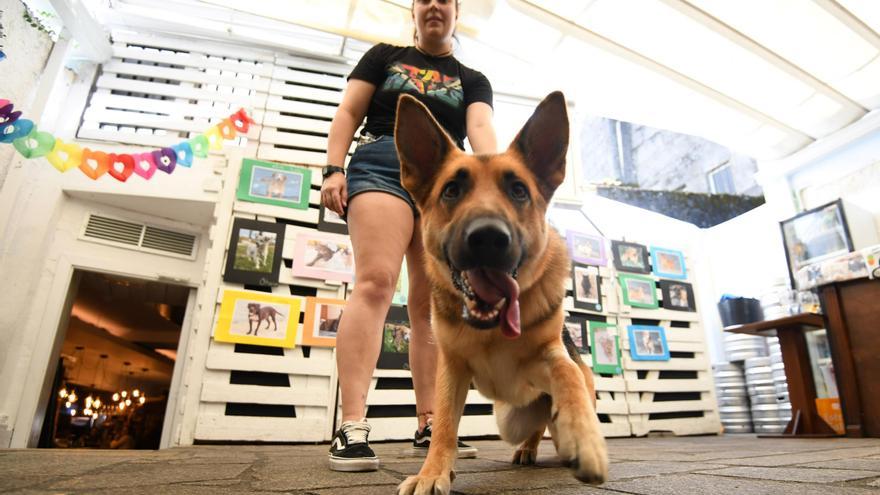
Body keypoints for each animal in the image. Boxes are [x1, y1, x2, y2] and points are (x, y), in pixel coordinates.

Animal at [396, 91, 608, 494]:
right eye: (451, 190)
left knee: (555, 410)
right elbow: (443, 425)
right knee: (535, 426)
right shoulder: (451, 370)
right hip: (508, 420)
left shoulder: (551, 357)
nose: (488, 238)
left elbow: (567, 376)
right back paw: (528, 449)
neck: (491, 331)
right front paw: (432, 472)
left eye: (518, 190)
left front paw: (585, 439)